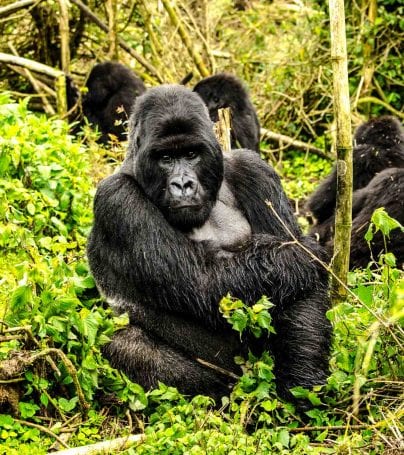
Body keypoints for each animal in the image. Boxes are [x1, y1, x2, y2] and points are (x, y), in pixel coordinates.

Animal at [88, 84, 332, 402]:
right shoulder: (116, 198)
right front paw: (303, 255)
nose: (183, 184)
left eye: (191, 153)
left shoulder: (253, 168)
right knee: (125, 344)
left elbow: (303, 291)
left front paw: (303, 376)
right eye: (165, 158)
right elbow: (201, 282)